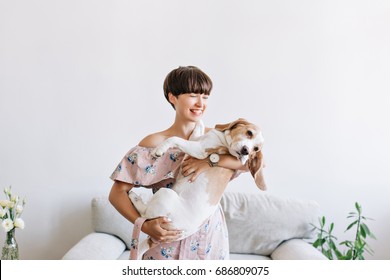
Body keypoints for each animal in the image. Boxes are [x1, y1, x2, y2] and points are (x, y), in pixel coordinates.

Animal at [129, 117, 266, 258]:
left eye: (256, 149)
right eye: (249, 133)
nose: (246, 151)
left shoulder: (199, 149)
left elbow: (175, 139)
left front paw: (159, 149)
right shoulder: (195, 140)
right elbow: (196, 131)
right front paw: (199, 120)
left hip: (166, 194)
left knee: (143, 214)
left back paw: (134, 197)